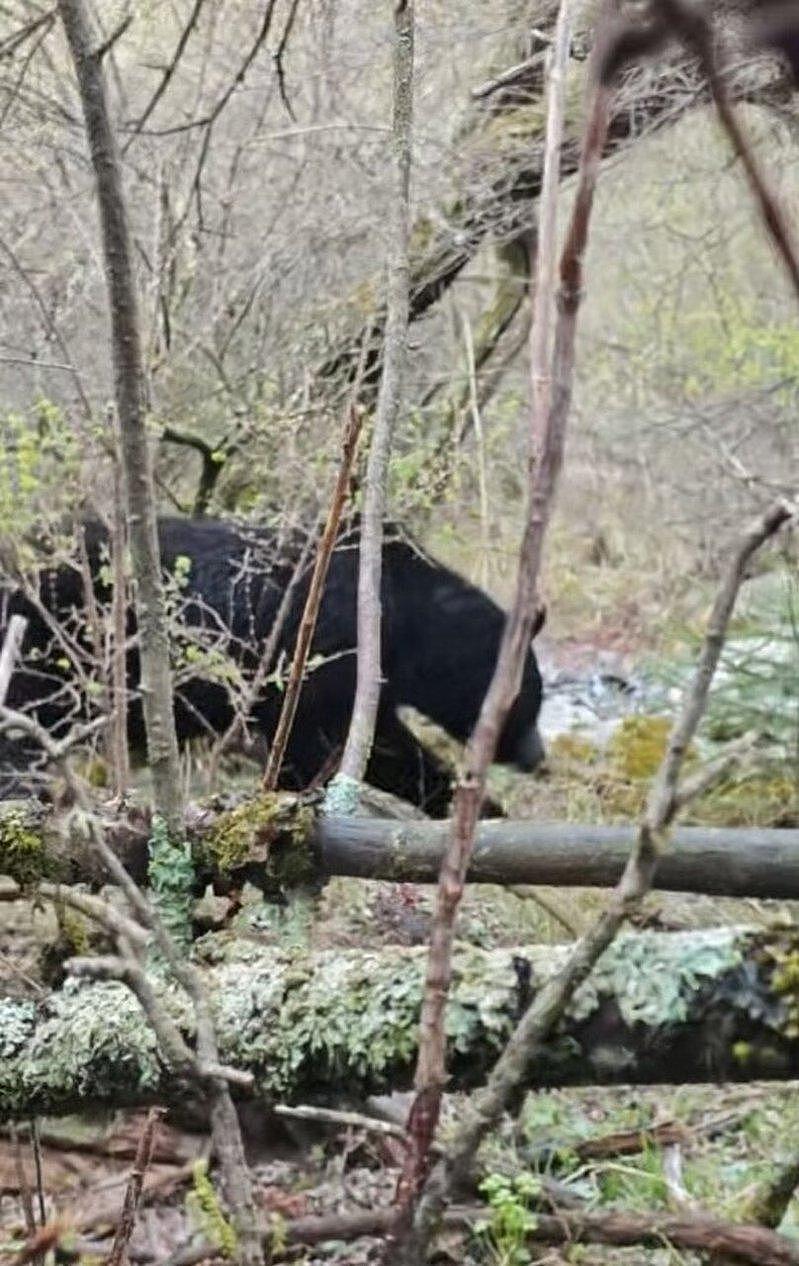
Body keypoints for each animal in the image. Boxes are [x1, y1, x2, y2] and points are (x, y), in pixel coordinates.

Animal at [0, 517, 545, 814]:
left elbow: (377, 742)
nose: (540, 758)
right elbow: (322, 736)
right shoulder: (327, 642)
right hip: (46, 648)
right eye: (533, 699)